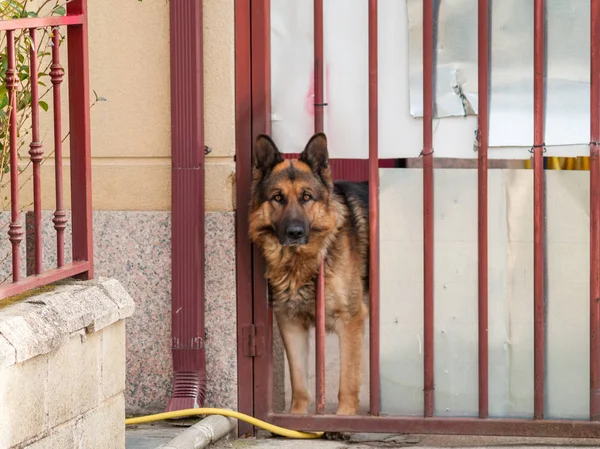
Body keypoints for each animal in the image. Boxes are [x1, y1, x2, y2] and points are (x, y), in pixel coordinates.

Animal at [248, 131, 370, 414]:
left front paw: (344, 416)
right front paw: (298, 415)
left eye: (306, 197)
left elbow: (348, 381)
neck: (301, 262)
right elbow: (300, 383)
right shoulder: (291, 323)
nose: (294, 233)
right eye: (278, 197)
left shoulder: (351, 320)